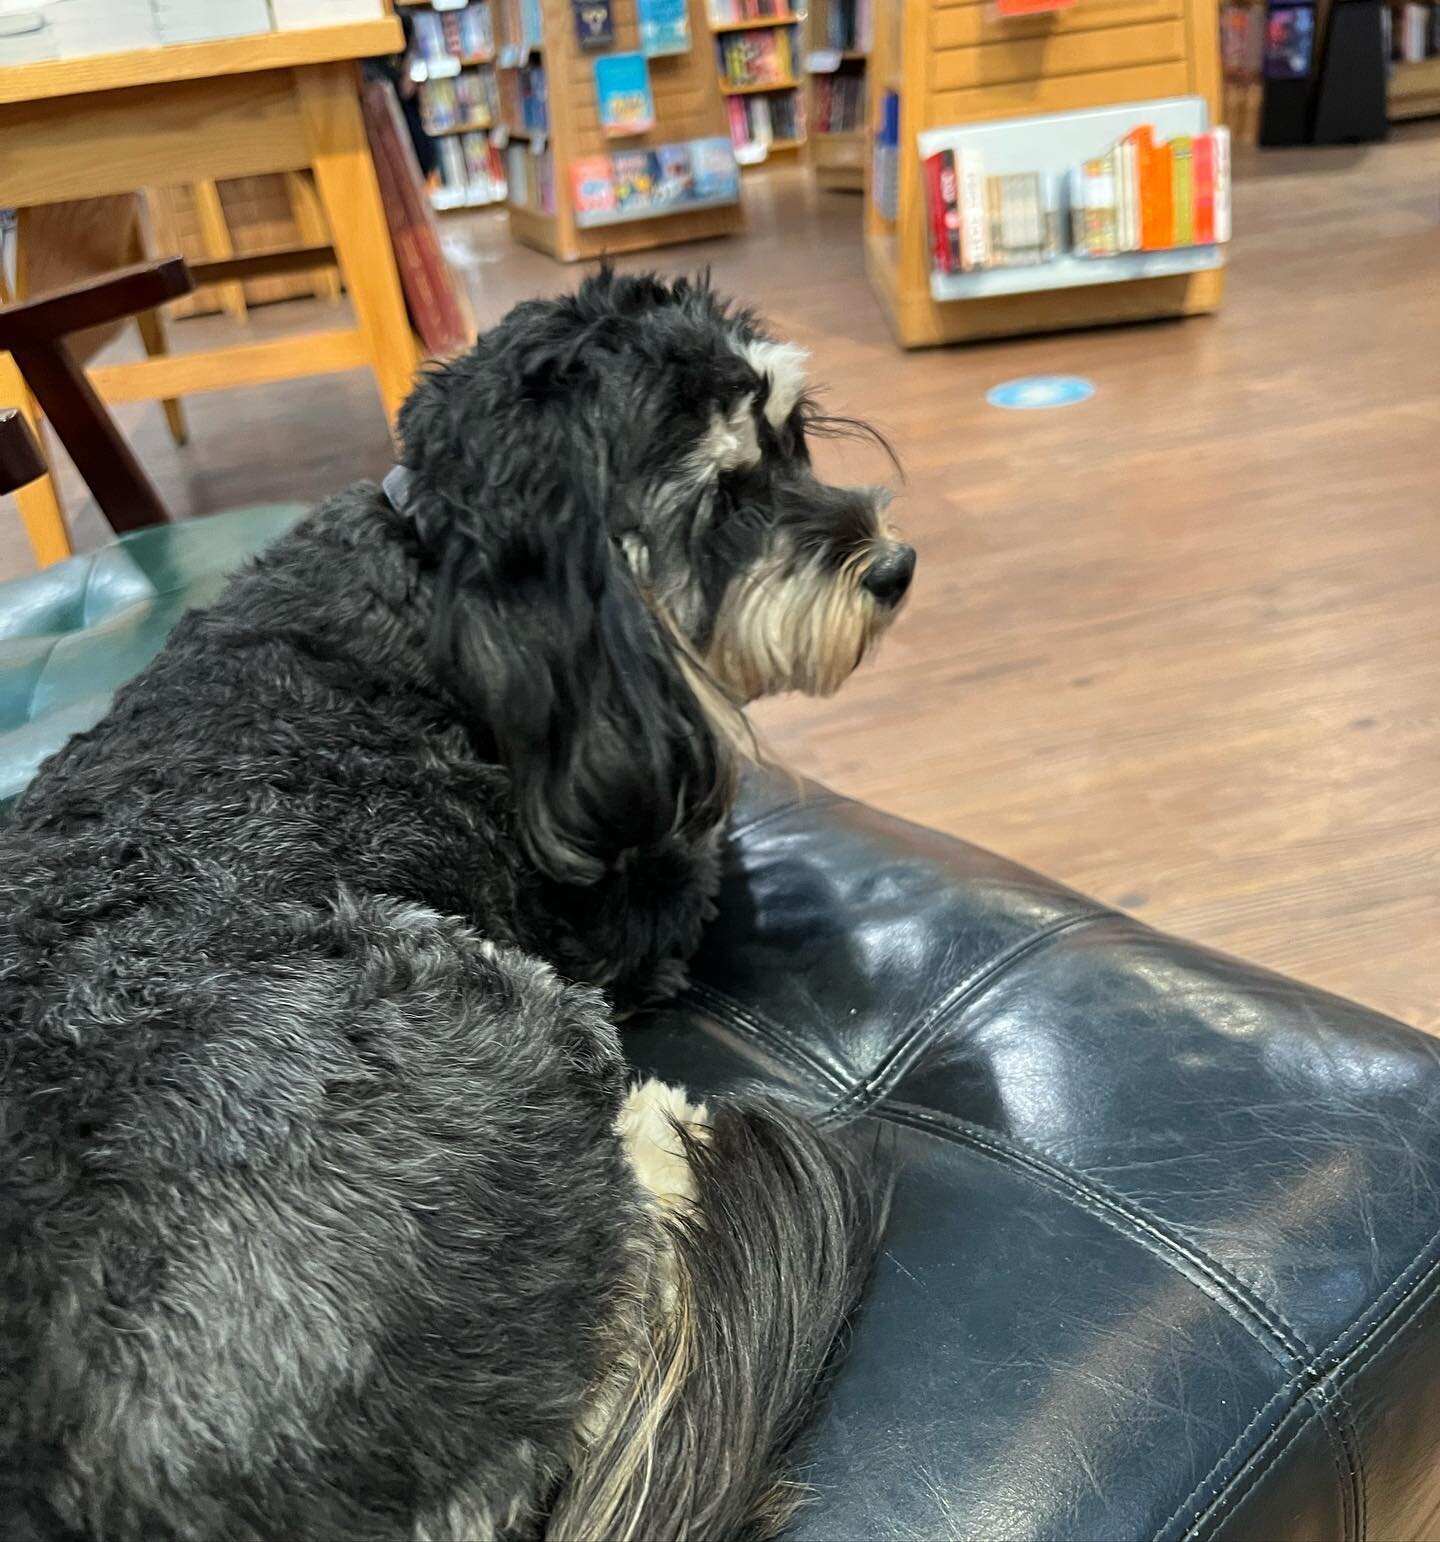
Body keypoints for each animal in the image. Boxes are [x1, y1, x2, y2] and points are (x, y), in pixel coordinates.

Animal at [2, 271, 912, 1535]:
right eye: (726, 491)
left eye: (792, 436)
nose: (895, 567)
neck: (437, 568)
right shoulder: (632, 898)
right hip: (476, 992)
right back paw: (667, 1146)